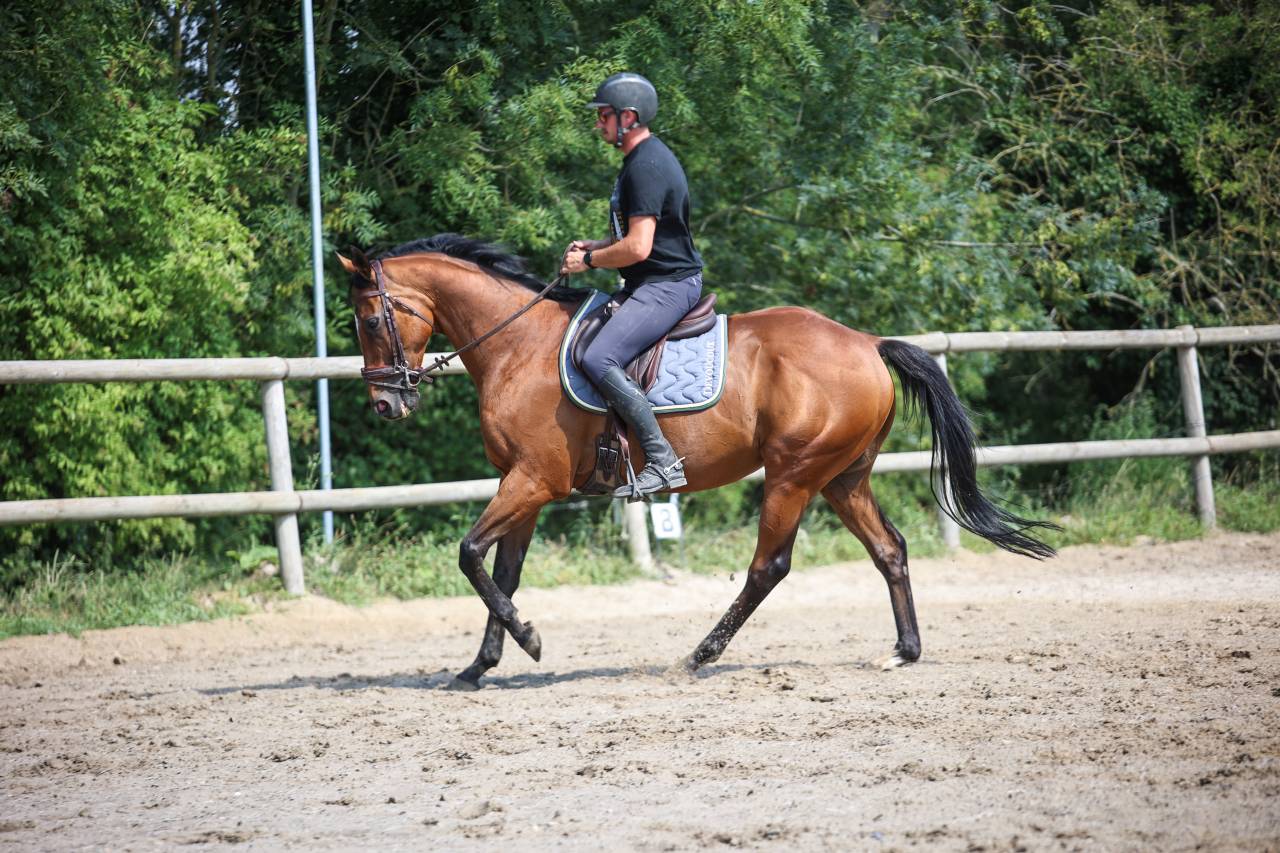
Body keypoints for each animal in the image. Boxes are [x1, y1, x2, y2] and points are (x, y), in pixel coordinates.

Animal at [339, 234, 1055, 690]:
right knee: (890, 549)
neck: (518, 345)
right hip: (842, 479)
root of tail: (867, 342)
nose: (386, 404)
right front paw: (482, 665)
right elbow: (503, 573)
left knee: (769, 567)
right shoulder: (523, 484)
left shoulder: (532, 481)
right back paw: (904, 653)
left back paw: (699, 655)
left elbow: (469, 555)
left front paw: (528, 641)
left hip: (793, 474)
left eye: (370, 321)